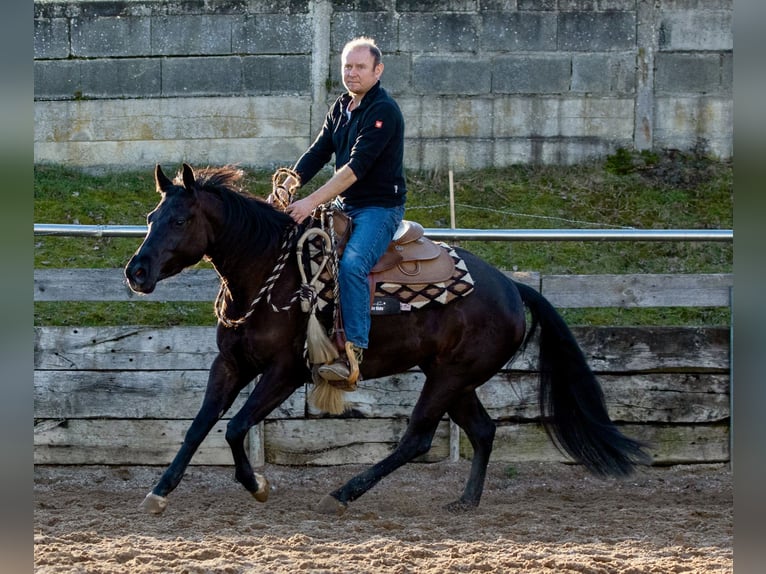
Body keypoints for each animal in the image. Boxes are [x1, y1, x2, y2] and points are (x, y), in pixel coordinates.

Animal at [125, 163, 650, 516]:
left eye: (179, 220)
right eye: (151, 216)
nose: (137, 272)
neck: (268, 274)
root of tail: (510, 287)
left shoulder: (285, 372)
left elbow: (234, 428)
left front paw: (258, 487)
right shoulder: (231, 364)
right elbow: (199, 426)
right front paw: (159, 491)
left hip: (450, 377)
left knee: (417, 438)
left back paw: (343, 493)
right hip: (454, 378)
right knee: (483, 430)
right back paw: (466, 500)